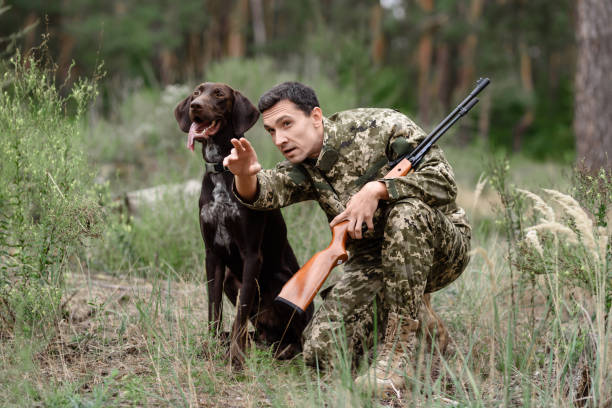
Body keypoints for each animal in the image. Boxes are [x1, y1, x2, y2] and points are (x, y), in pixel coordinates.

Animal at [175, 83, 314, 366]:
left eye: (219, 94)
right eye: (196, 93)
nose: (195, 106)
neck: (223, 171)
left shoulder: (252, 254)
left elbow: (240, 312)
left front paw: (235, 357)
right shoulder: (212, 255)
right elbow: (214, 308)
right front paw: (212, 347)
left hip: (282, 283)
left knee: (296, 338)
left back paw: (281, 350)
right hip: (232, 278)